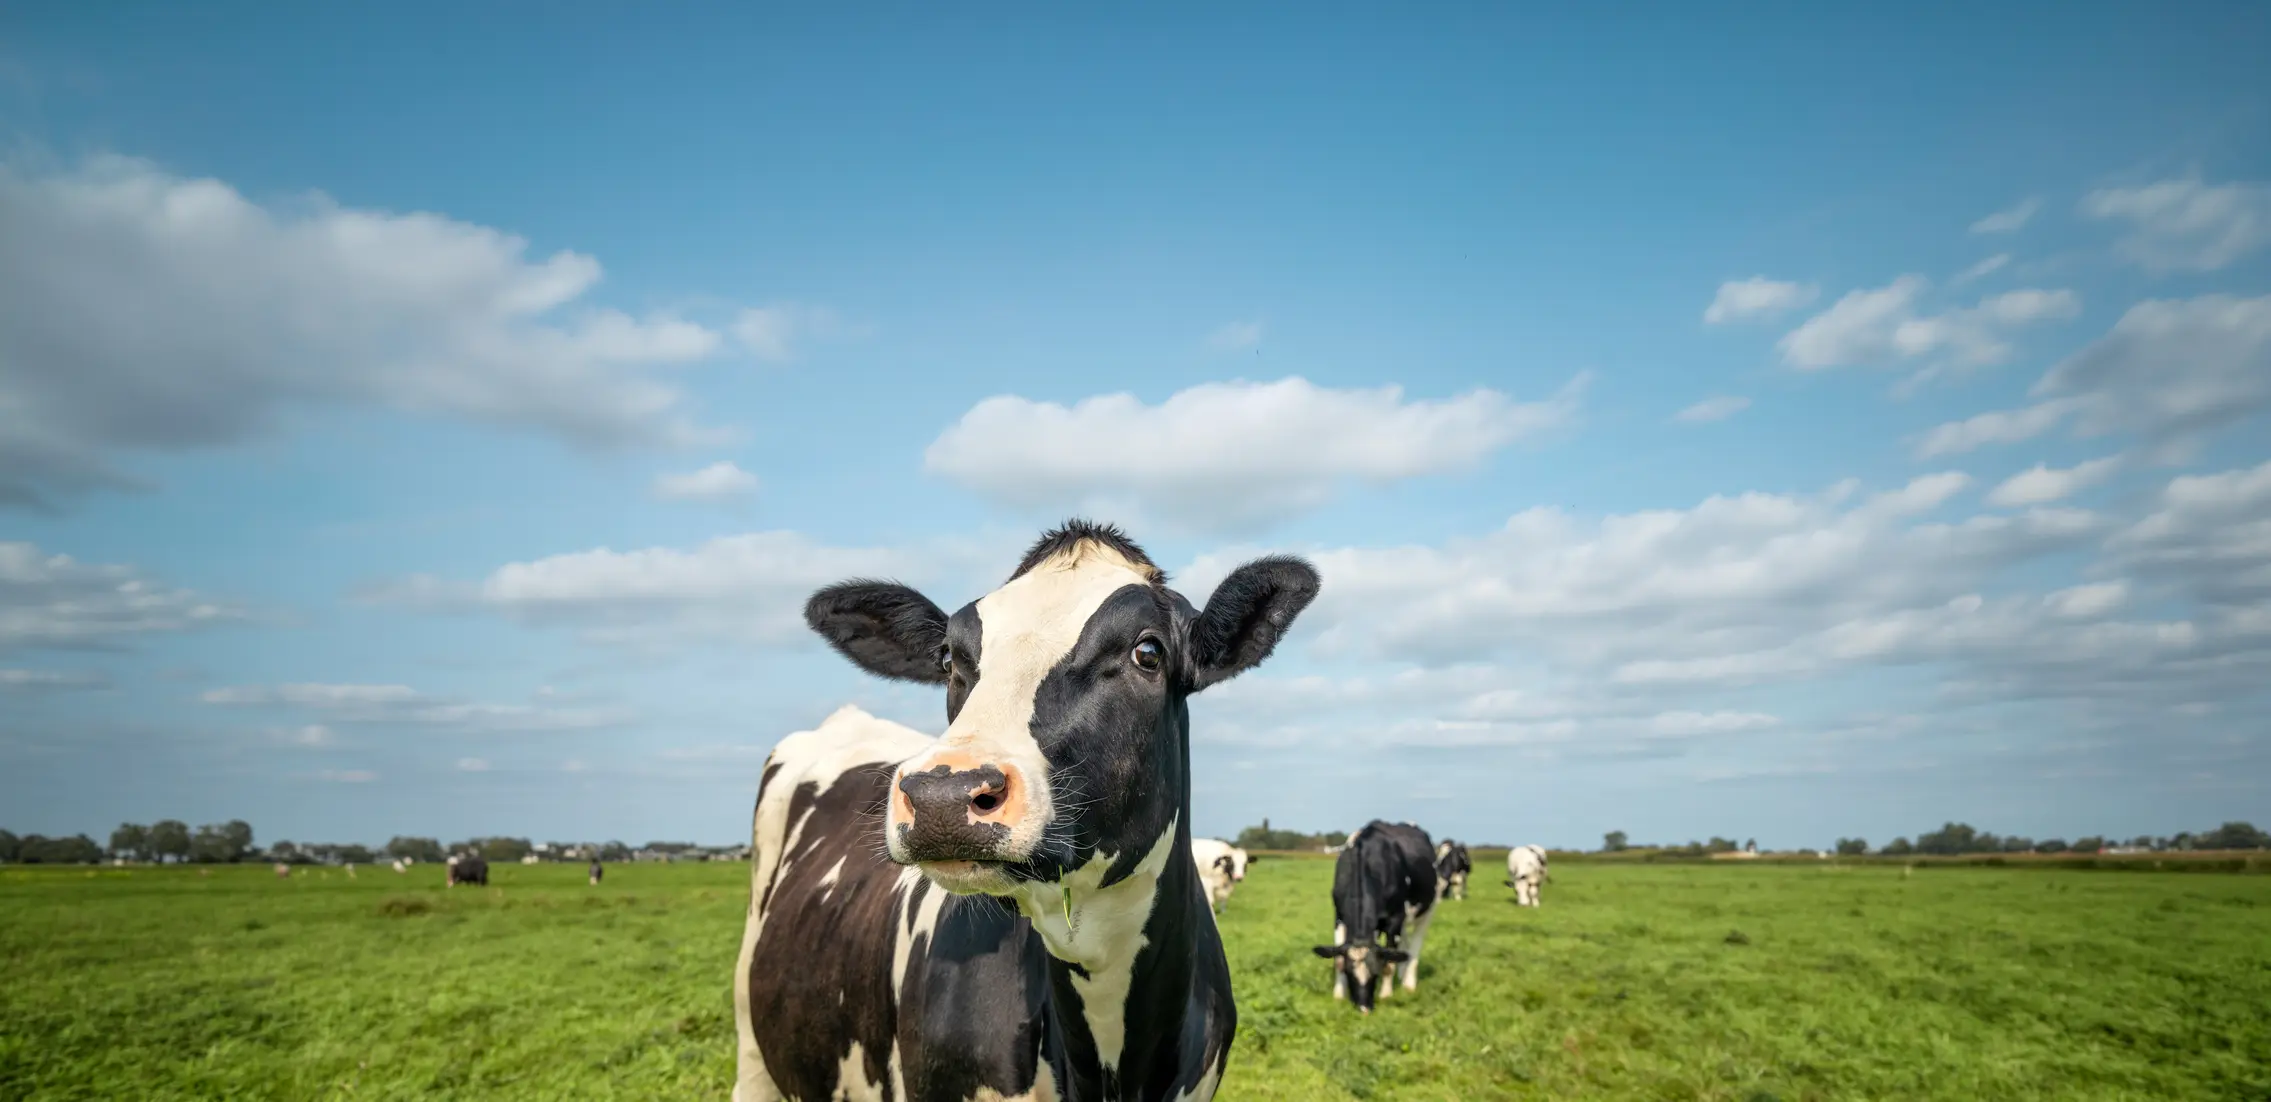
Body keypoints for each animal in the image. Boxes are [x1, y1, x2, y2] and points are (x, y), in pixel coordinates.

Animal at [1311, 820, 1438, 1014]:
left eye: (1375, 973)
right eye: (1349, 972)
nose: (1364, 1008)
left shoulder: (1395, 919)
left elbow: (1389, 962)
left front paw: (1385, 995)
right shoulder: (1339, 916)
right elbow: (1338, 958)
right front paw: (1339, 995)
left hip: (1427, 909)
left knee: (1415, 945)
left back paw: (1409, 984)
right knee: (1404, 947)